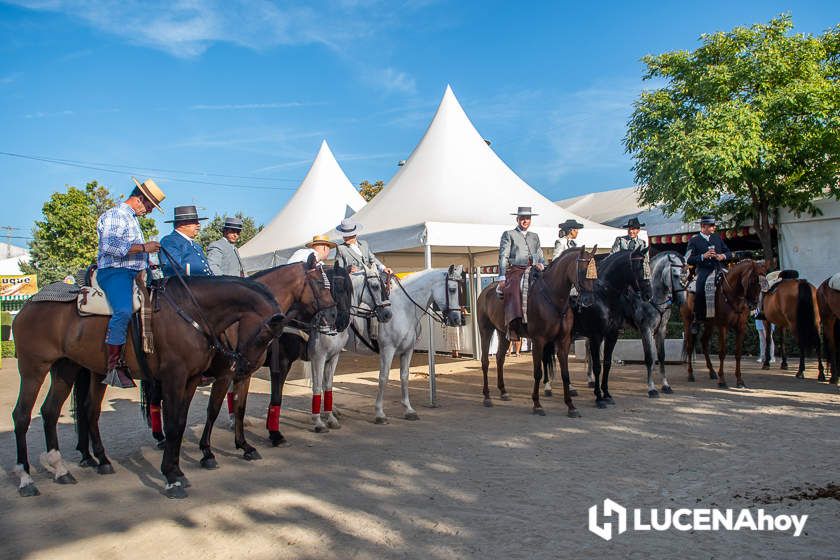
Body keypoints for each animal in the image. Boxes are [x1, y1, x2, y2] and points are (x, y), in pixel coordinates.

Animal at [12, 276, 286, 498]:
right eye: (265, 335)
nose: (244, 367)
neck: (192, 312)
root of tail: (29, 305)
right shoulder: (176, 377)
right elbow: (175, 423)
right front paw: (173, 477)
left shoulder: (192, 379)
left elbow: (181, 423)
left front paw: (178, 470)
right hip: (34, 368)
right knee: (22, 416)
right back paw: (26, 478)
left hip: (66, 368)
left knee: (55, 411)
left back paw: (66, 467)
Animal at [195, 260, 340, 468]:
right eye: (321, 283)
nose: (334, 315)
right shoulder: (272, 366)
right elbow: (214, 410)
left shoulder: (245, 372)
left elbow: (242, 407)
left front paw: (251, 443)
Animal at [308, 264, 466, 426]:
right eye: (452, 289)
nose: (457, 319)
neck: (404, 309)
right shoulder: (388, 350)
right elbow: (383, 377)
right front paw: (379, 413)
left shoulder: (408, 350)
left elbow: (404, 377)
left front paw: (408, 410)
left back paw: (332, 412)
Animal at [480, 247, 596, 418]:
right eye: (582, 270)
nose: (589, 300)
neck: (553, 298)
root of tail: (485, 291)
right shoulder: (539, 341)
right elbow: (538, 372)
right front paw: (537, 404)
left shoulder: (563, 341)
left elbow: (565, 374)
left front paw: (571, 406)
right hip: (486, 330)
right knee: (485, 361)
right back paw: (487, 396)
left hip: (503, 333)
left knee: (500, 358)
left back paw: (503, 391)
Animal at [680, 260, 772, 388]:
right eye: (752, 281)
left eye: (763, 284)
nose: (753, 305)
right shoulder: (723, 326)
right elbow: (722, 352)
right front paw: (722, 380)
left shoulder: (741, 327)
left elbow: (738, 353)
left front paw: (739, 380)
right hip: (687, 321)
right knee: (689, 346)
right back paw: (690, 374)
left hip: (709, 324)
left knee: (704, 342)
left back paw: (712, 372)